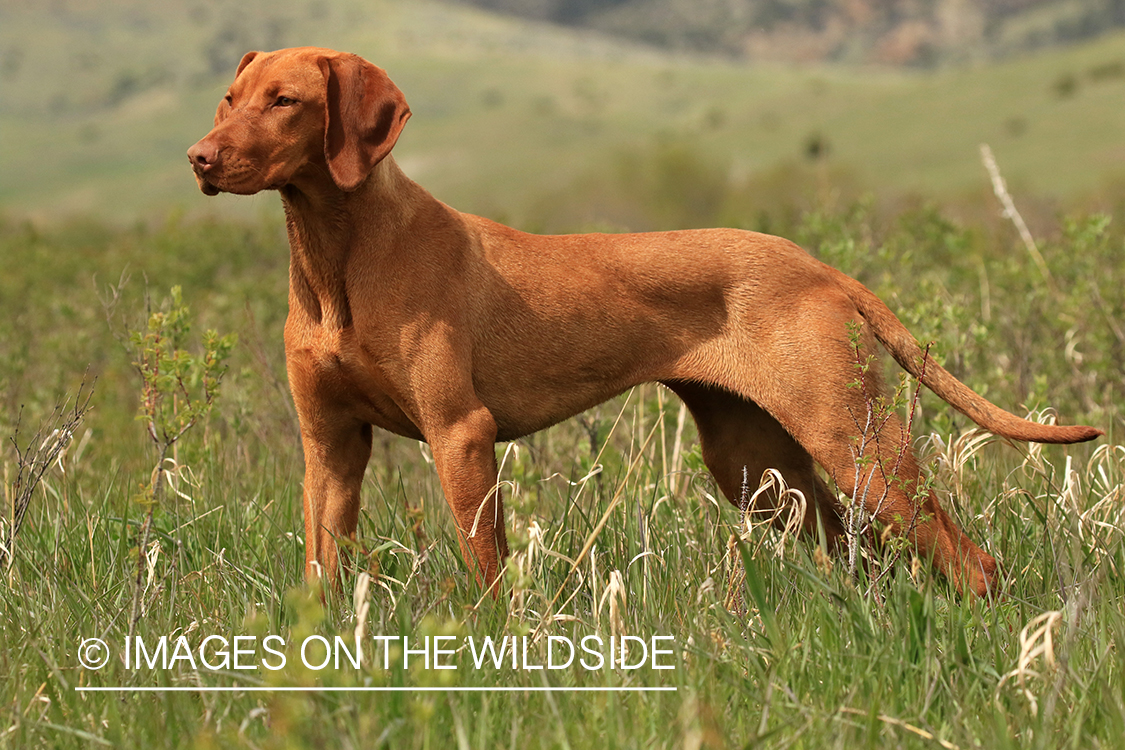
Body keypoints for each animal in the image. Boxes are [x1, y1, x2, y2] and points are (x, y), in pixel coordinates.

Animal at [189, 46, 1102, 598]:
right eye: (228, 99)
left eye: (285, 101)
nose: (199, 158)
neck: (336, 262)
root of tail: (819, 267)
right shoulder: (330, 445)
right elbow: (322, 568)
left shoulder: (461, 434)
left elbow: (488, 574)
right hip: (754, 464)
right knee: (858, 551)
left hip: (852, 438)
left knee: (965, 555)